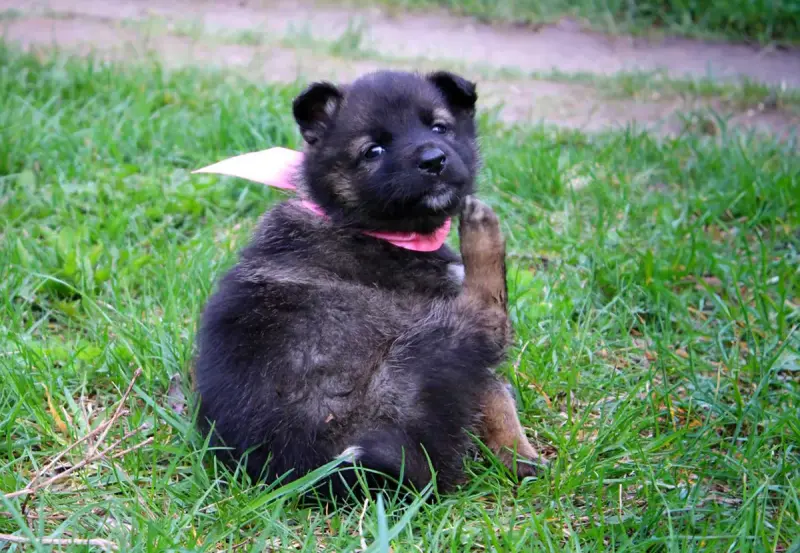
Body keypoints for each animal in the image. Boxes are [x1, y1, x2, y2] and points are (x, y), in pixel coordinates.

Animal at [194, 69, 544, 496]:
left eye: (440, 127)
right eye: (373, 151)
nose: (434, 160)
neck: (357, 221)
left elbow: (493, 394)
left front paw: (518, 455)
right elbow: (493, 387)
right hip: (427, 348)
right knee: (490, 317)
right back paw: (482, 230)